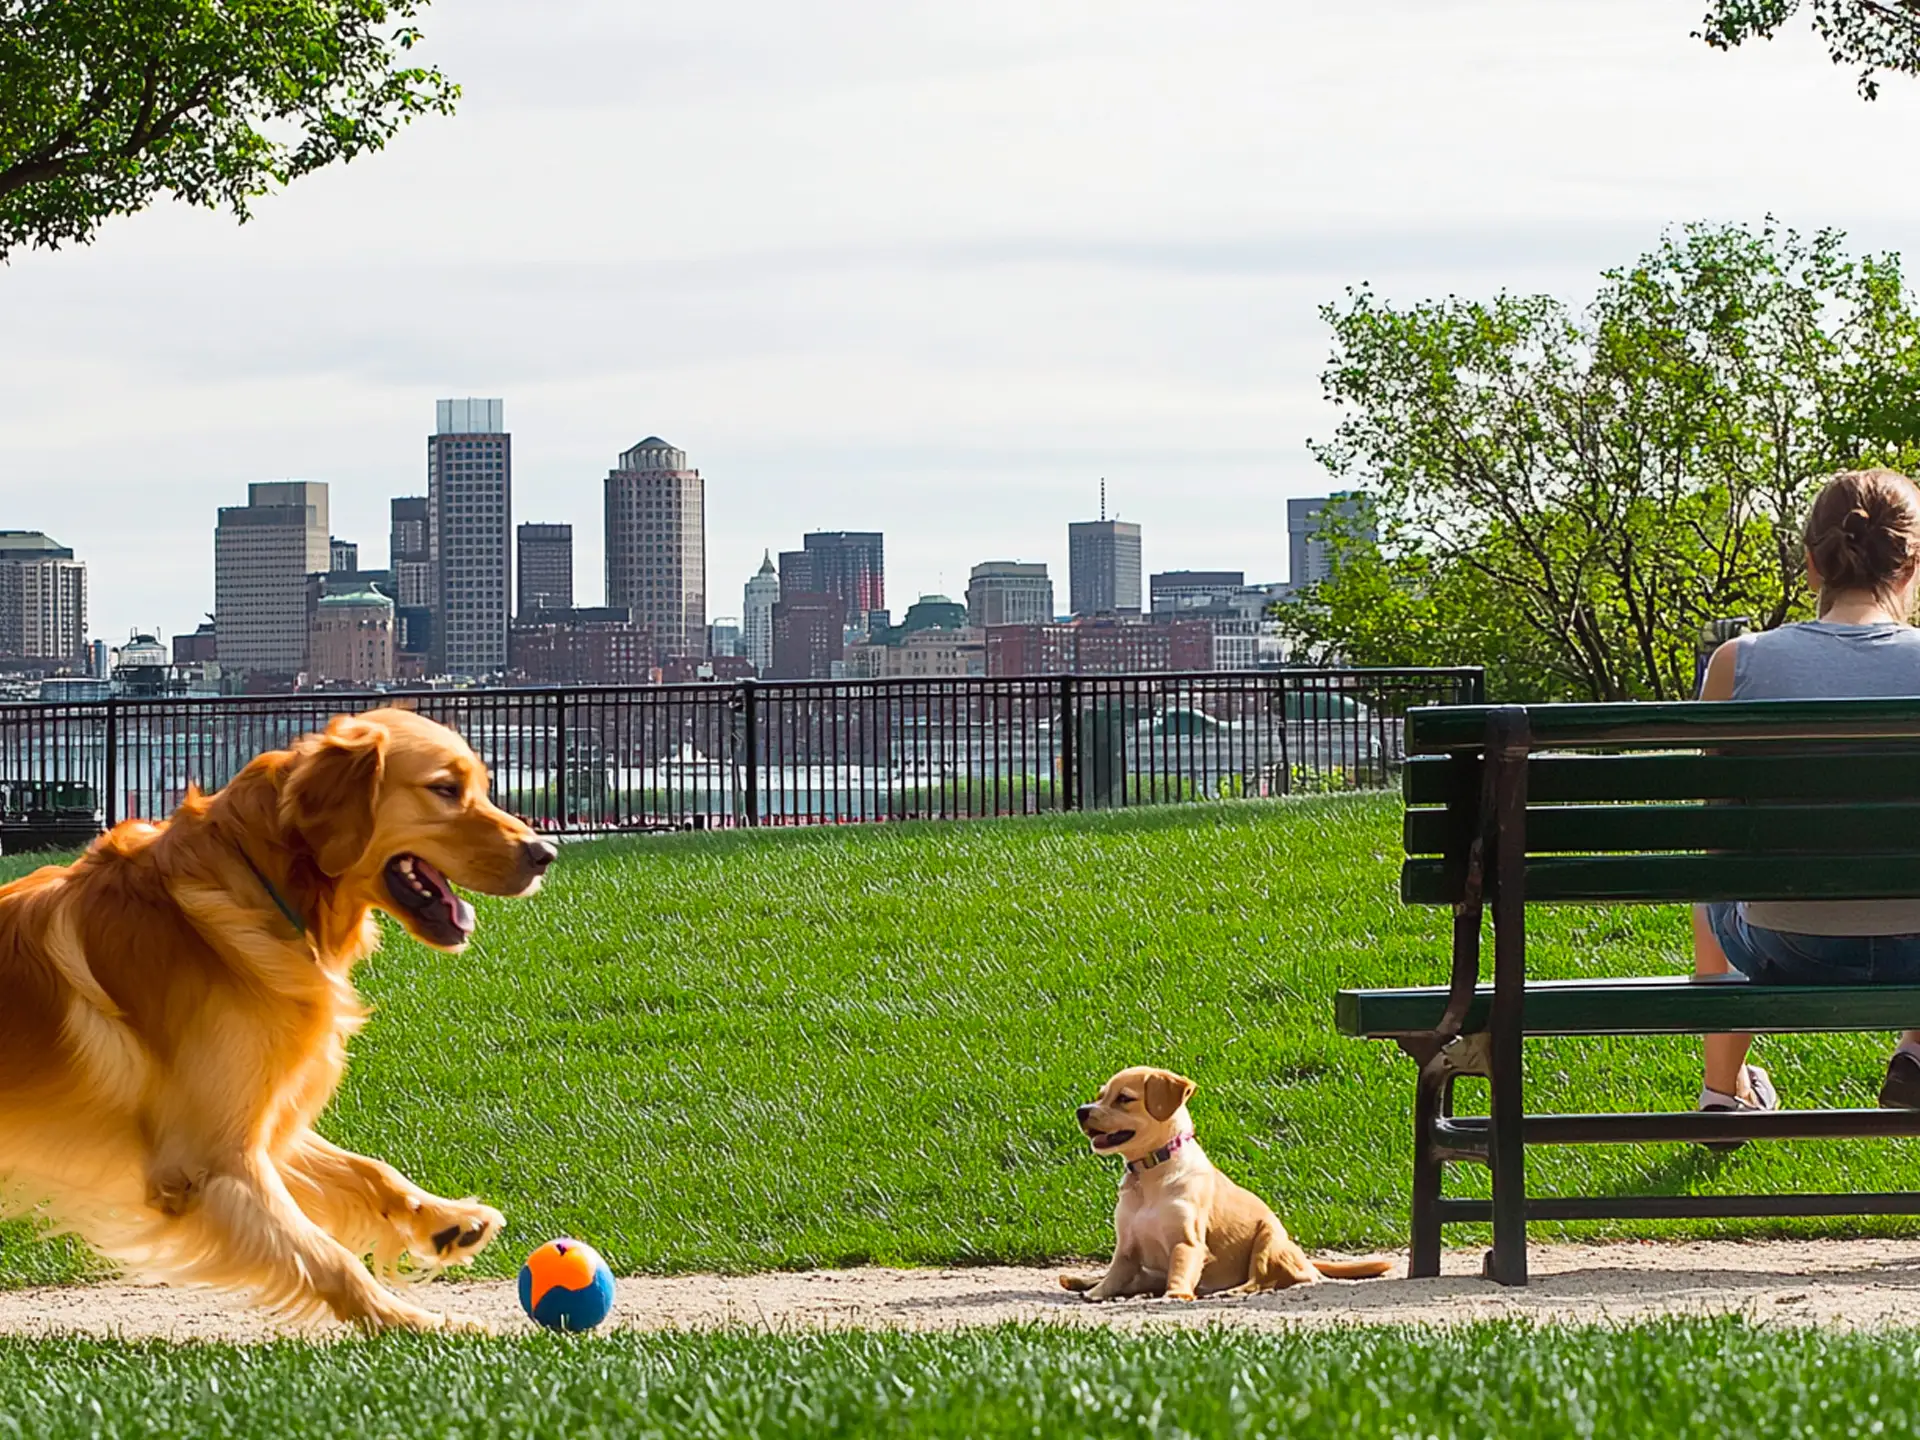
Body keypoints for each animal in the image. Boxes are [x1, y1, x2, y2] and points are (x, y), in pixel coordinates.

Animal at [1059, 1067, 1390, 1305]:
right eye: (1100, 1095)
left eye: (1124, 1098)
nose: (1081, 1110)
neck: (1150, 1176)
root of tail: (1304, 1259)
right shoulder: (1127, 1244)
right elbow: (1114, 1274)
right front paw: (1097, 1292)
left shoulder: (1187, 1240)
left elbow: (1180, 1269)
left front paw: (1175, 1295)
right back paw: (1081, 1281)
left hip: (1268, 1239)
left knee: (1264, 1280)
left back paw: (1231, 1291)